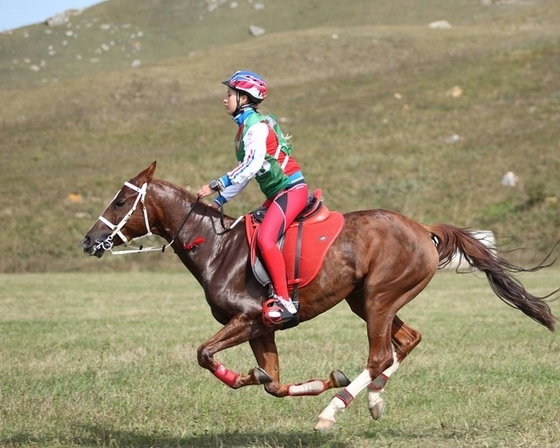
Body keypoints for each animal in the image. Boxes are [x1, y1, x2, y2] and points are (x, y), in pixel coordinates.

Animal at [81, 162, 556, 430]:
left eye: (121, 201)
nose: (88, 241)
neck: (215, 247)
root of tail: (423, 228)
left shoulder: (247, 319)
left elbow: (205, 354)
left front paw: (252, 378)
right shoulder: (262, 329)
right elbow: (272, 383)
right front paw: (301, 379)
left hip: (379, 298)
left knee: (380, 355)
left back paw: (332, 413)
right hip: (366, 300)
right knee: (406, 341)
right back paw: (374, 400)